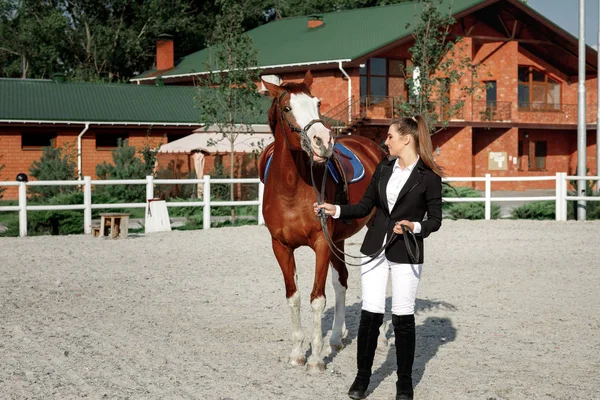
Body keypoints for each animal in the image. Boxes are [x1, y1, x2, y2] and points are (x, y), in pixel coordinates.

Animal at [262, 71, 384, 372]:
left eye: (317, 103)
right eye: (287, 108)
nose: (323, 141)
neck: (291, 188)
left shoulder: (321, 244)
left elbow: (317, 299)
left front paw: (316, 358)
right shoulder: (280, 246)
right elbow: (293, 296)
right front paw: (297, 352)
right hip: (338, 240)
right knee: (341, 281)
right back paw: (337, 338)